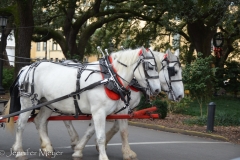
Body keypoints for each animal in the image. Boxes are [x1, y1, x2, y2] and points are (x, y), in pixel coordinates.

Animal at [6, 47, 161, 160]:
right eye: (150, 66)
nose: (157, 90)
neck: (109, 78)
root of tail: (26, 68)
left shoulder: (106, 112)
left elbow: (95, 132)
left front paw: (78, 150)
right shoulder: (99, 111)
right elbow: (100, 136)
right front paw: (103, 156)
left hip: (47, 103)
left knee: (39, 121)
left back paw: (47, 148)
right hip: (28, 102)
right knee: (21, 125)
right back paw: (19, 151)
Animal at [54, 48, 184, 159]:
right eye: (173, 71)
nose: (180, 96)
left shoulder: (114, 109)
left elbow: (99, 128)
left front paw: (86, 146)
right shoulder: (119, 108)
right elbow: (122, 129)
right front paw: (126, 152)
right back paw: (71, 140)